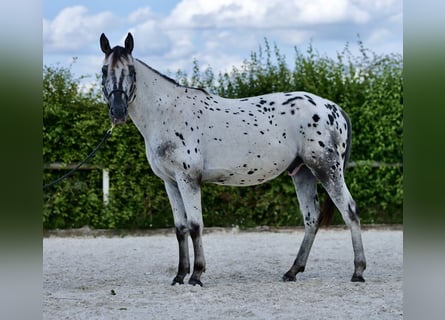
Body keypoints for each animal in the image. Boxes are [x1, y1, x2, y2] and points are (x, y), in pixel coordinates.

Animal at [99, 33, 364, 286]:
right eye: (103, 71)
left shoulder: (188, 180)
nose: (118, 112)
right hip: (303, 172)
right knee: (311, 218)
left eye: (131, 71)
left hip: (326, 169)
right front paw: (179, 275)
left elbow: (195, 225)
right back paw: (292, 271)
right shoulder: (170, 182)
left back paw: (358, 271)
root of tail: (335, 108)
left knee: (349, 210)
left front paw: (196, 275)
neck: (168, 112)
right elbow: (180, 228)